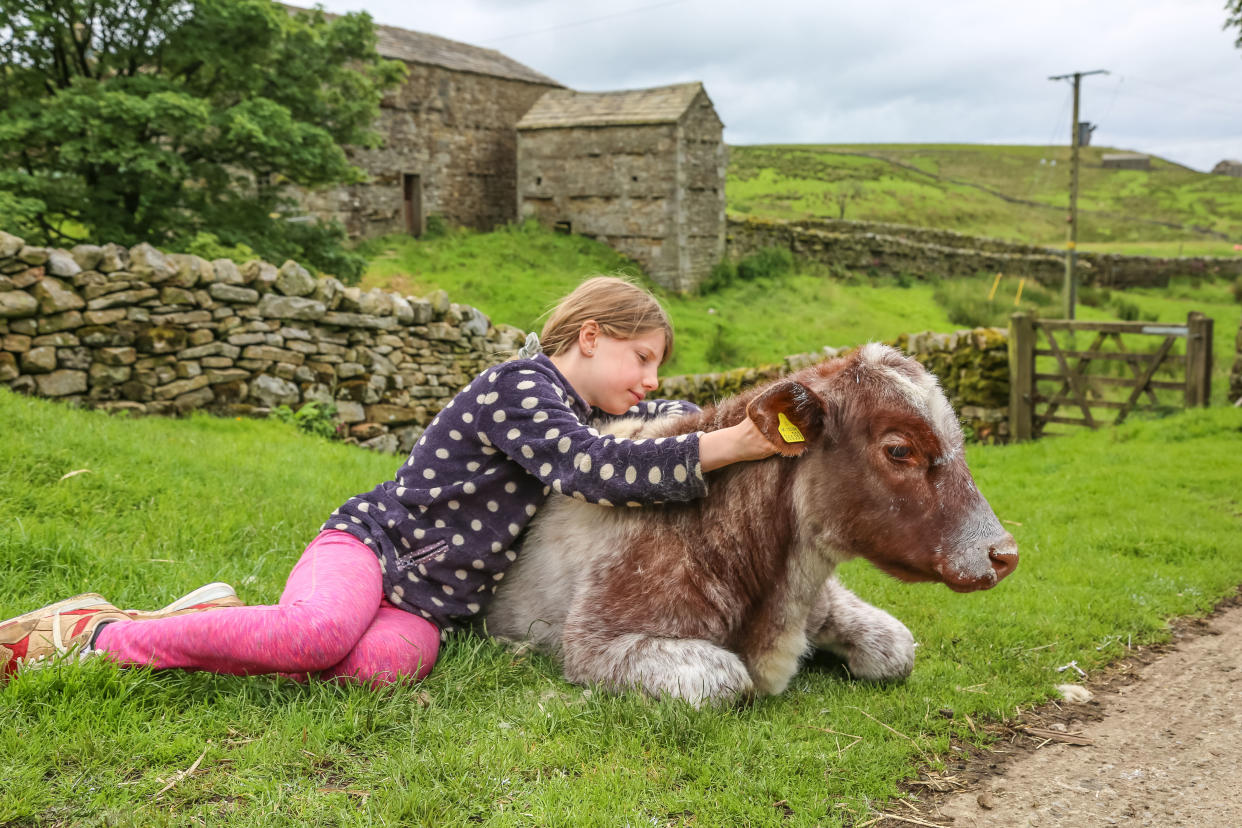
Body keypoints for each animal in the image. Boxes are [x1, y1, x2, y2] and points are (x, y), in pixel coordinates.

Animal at [484, 342, 1018, 705]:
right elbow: (727, 681)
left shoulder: (827, 600)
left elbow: (897, 650)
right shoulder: (593, 642)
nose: (1004, 554)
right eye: (899, 450)